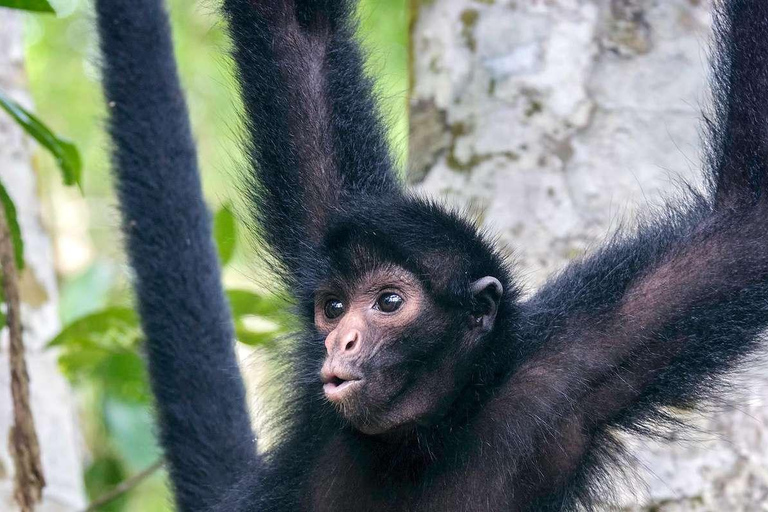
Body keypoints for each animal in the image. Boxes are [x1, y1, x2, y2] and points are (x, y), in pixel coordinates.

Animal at [94, 0, 768, 510]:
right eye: (333, 308)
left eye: (389, 302)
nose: (341, 341)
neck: (419, 441)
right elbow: (299, 32)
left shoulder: (573, 365)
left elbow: (745, 225)